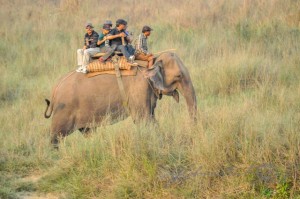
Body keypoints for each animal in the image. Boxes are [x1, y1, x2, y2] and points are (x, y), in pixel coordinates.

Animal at [44, 52, 197, 145]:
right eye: (179, 76)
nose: (191, 132)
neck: (152, 61)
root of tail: (55, 89)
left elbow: (151, 117)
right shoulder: (139, 88)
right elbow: (143, 119)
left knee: (87, 131)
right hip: (64, 111)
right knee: (56, 137)